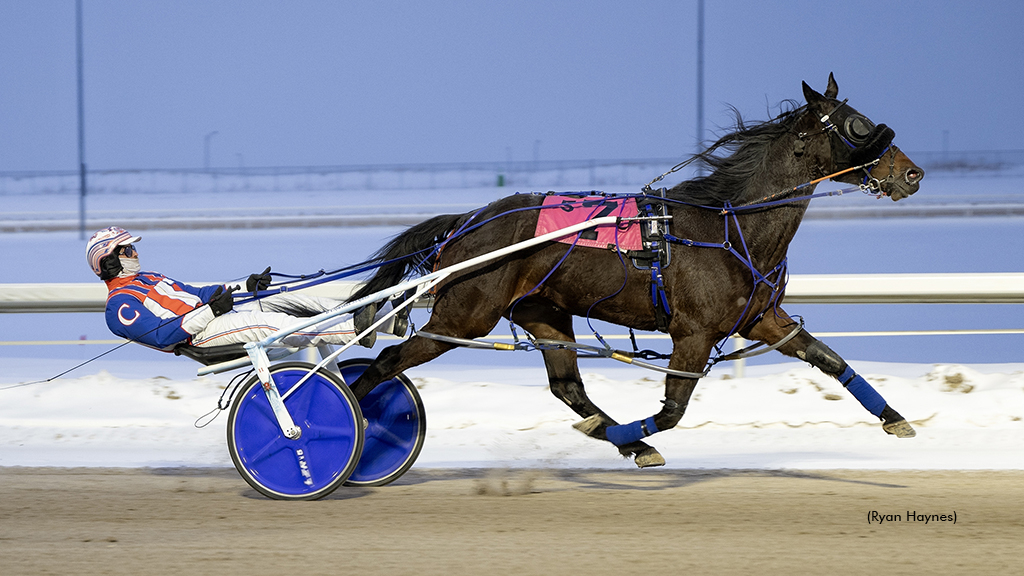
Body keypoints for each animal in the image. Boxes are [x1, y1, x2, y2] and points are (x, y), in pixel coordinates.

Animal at [348, 73, 925, 463]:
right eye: (857, 125)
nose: (912, 173)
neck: (729, 227)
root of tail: (467, 221)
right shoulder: (693, 333)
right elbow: (673, 411)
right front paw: (634, 436)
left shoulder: (764, 319)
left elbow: (830, 359)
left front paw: (896, 419)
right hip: (464, 317)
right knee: (388, 361)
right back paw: (342, 422)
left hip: (544, 313)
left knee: (568, 387)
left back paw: (614, 434)